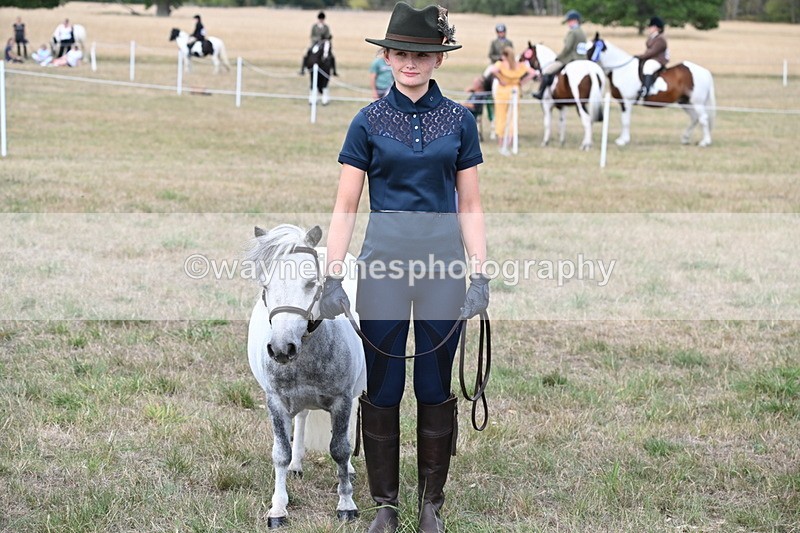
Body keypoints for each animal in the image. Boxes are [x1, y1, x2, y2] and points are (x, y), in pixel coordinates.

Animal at [246, 224, 365, 528]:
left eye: (311, 283)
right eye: (266, 286)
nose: (281, 348)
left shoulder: (341, 400)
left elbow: (340, 448)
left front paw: (346, 505)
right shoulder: (276, 401)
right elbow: (280, 453)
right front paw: (278, 509)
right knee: (301, 417)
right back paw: (297, 465)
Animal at [586, 32, 716, 147]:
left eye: (592, 49)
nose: (586, 64)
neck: (622, 69)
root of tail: (705, 71)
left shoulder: (627, 102)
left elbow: (625, 121)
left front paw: (623, 141)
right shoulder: (623, 102)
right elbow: (624, 120)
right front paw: (622, 139)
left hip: (697, 102)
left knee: (703, 118)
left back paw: (705, 142)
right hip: (685, 102)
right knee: (695, 118)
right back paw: (685, 139)